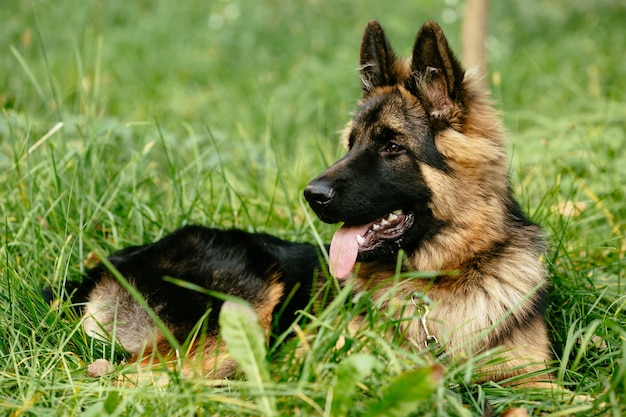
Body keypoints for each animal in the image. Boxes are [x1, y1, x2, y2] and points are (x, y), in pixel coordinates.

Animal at [68, 19, 548, 384]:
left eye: (392, 147)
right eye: (351, 144)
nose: (311, 195)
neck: (437, 280)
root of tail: (106, 266)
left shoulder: (532, 381)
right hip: (243, 306)